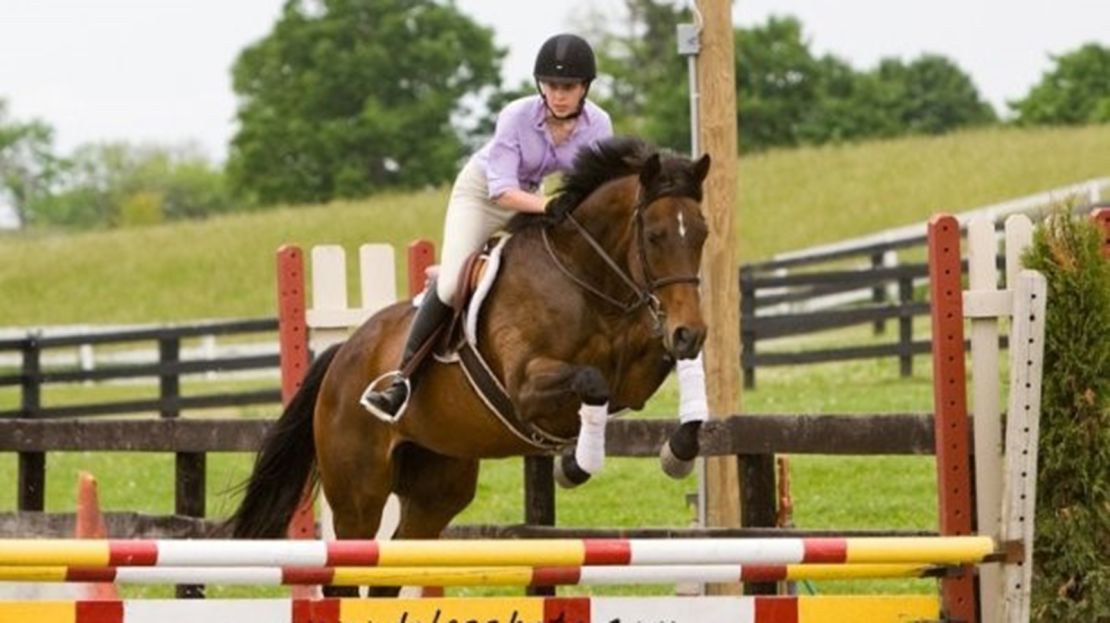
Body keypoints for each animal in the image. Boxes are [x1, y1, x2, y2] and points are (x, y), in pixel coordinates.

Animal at [228, 138, 710, 595]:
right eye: (655, 235)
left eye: (702, 234)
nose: (692, 330)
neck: (587, 281)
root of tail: (341, 356)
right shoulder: (526, 388)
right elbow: (592, 382)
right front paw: (576, 465)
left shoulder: (635, 379)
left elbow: (669, 368)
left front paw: (678, 451)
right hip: (357, 494)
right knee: (345, 573)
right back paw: (390, 394)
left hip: (436, 490)